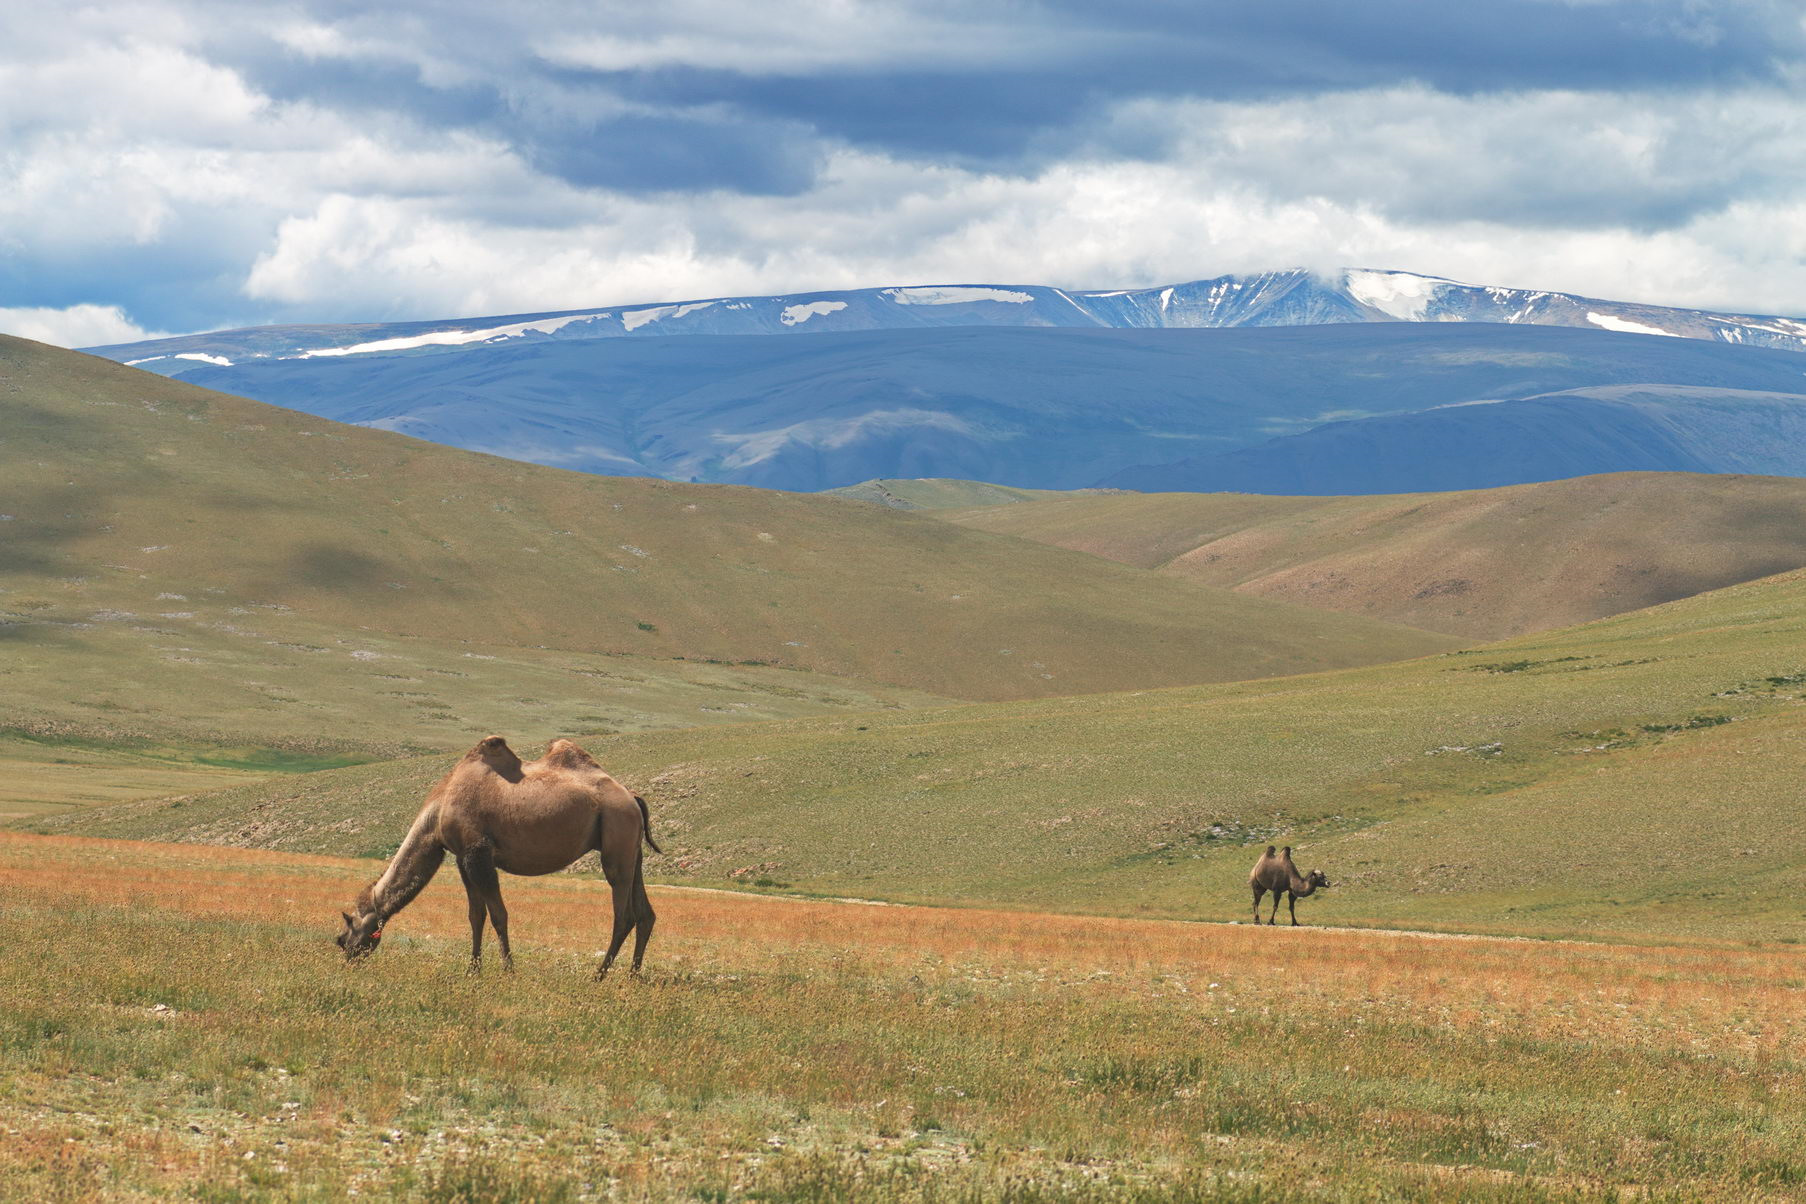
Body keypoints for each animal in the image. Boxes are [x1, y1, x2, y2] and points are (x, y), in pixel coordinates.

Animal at [339, 736, 664, 981]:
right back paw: (633, 975)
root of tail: (632, 797)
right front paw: (473, 970)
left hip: (616, 842)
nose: (347, 958)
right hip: (631, 850)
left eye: (345, 934)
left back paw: (598, 975)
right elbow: (475, 915)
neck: (438, 812)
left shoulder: (479, 853)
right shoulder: (462, 858)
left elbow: (498, 914)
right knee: (645, 913)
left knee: (624, 915)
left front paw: (508, 970)